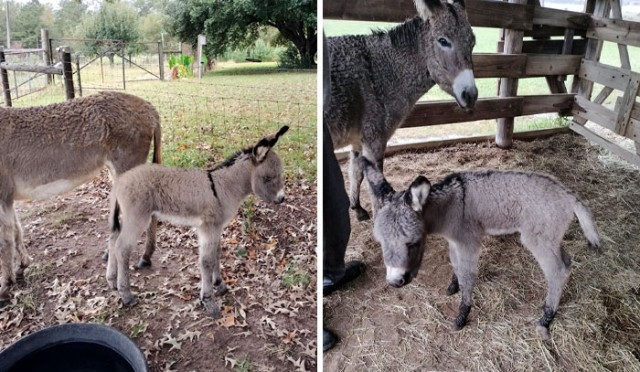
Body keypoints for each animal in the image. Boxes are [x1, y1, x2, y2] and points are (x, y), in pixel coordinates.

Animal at [107, 127, 288, 316]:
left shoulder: (217, 227)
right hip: (137, 217)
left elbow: (216, 254)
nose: (282, 199)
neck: (223, 187)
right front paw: (208, 300)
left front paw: (219, 285)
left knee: (112, 239)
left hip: (126, 216)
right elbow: (206, 261)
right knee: (122, 248)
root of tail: (120, 180)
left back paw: (112, 281)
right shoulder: (208, 227)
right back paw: (126, 295)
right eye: (268, 178)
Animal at [328, 0, 478, 221]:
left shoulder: (359, 140)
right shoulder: (374, 140)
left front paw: (357, 208)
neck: (380, 74)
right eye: (443, 41)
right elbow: (374, 186)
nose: (470, 95)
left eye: (473, 42)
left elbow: (356, 173)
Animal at [362, 158, 604, 338]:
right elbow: (455, 264)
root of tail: (569, 196)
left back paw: (546, 318)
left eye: (413, 242)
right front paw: (453, 286)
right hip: (552, 239)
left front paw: (462, 314)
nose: (395, 282)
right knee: (566, 262)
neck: (449, 206)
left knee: (557, 271)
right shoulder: (455, 240)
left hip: (538, 239)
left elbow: (468, 274)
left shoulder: (468, 241)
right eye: (381, 242)